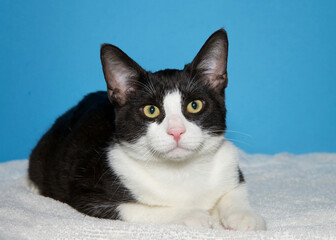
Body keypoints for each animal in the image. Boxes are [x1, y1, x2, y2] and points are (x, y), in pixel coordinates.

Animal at [28, 28, 266, 231]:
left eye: (195, 105)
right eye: (151, 110)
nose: (176, 131)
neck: (181, 172)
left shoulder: (229, 165)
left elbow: (235, 190)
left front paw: (245, 216)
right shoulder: (89, 196)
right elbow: (143, 209)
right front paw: (193, 215)